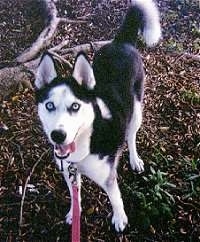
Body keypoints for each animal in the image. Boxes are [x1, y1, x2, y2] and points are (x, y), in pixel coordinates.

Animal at [34, 0, 161, 232]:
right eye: (49, 105)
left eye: (75, 106)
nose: (58, 135)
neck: (85, 143)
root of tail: (121, 42)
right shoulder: (69, 172)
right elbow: (75, 195)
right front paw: (74, 213)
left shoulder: (108, 177)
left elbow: (116, 197)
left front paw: (120, 218)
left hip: (136, 112)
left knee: (131, 136)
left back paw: (134, 159)